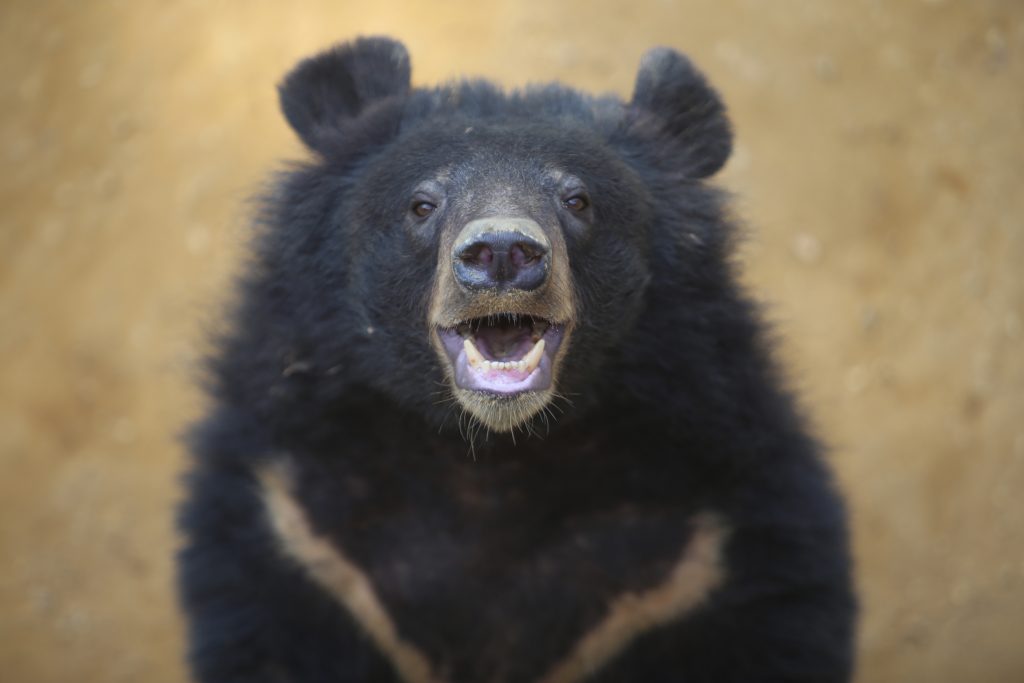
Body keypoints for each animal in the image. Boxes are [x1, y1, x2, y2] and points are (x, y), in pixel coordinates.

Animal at [178, 36, 856, 683]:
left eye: (578, 201)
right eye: (422, 204)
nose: (502, 252)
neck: (494, 454)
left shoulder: (706, 557)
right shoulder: (299, 537)